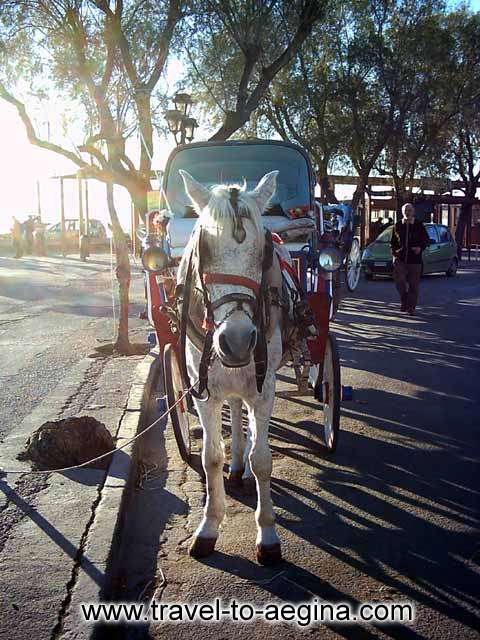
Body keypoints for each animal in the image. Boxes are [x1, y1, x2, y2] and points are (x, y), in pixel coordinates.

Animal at [177, 170, 284, 564]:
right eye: (203, 248)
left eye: (263, 250)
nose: (237, 340)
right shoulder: (203, 391)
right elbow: (210, 458)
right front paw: (208, 527)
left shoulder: (264, 388)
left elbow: (263, 459)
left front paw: (267, 534)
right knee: (236, 412)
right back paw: (237, 464)